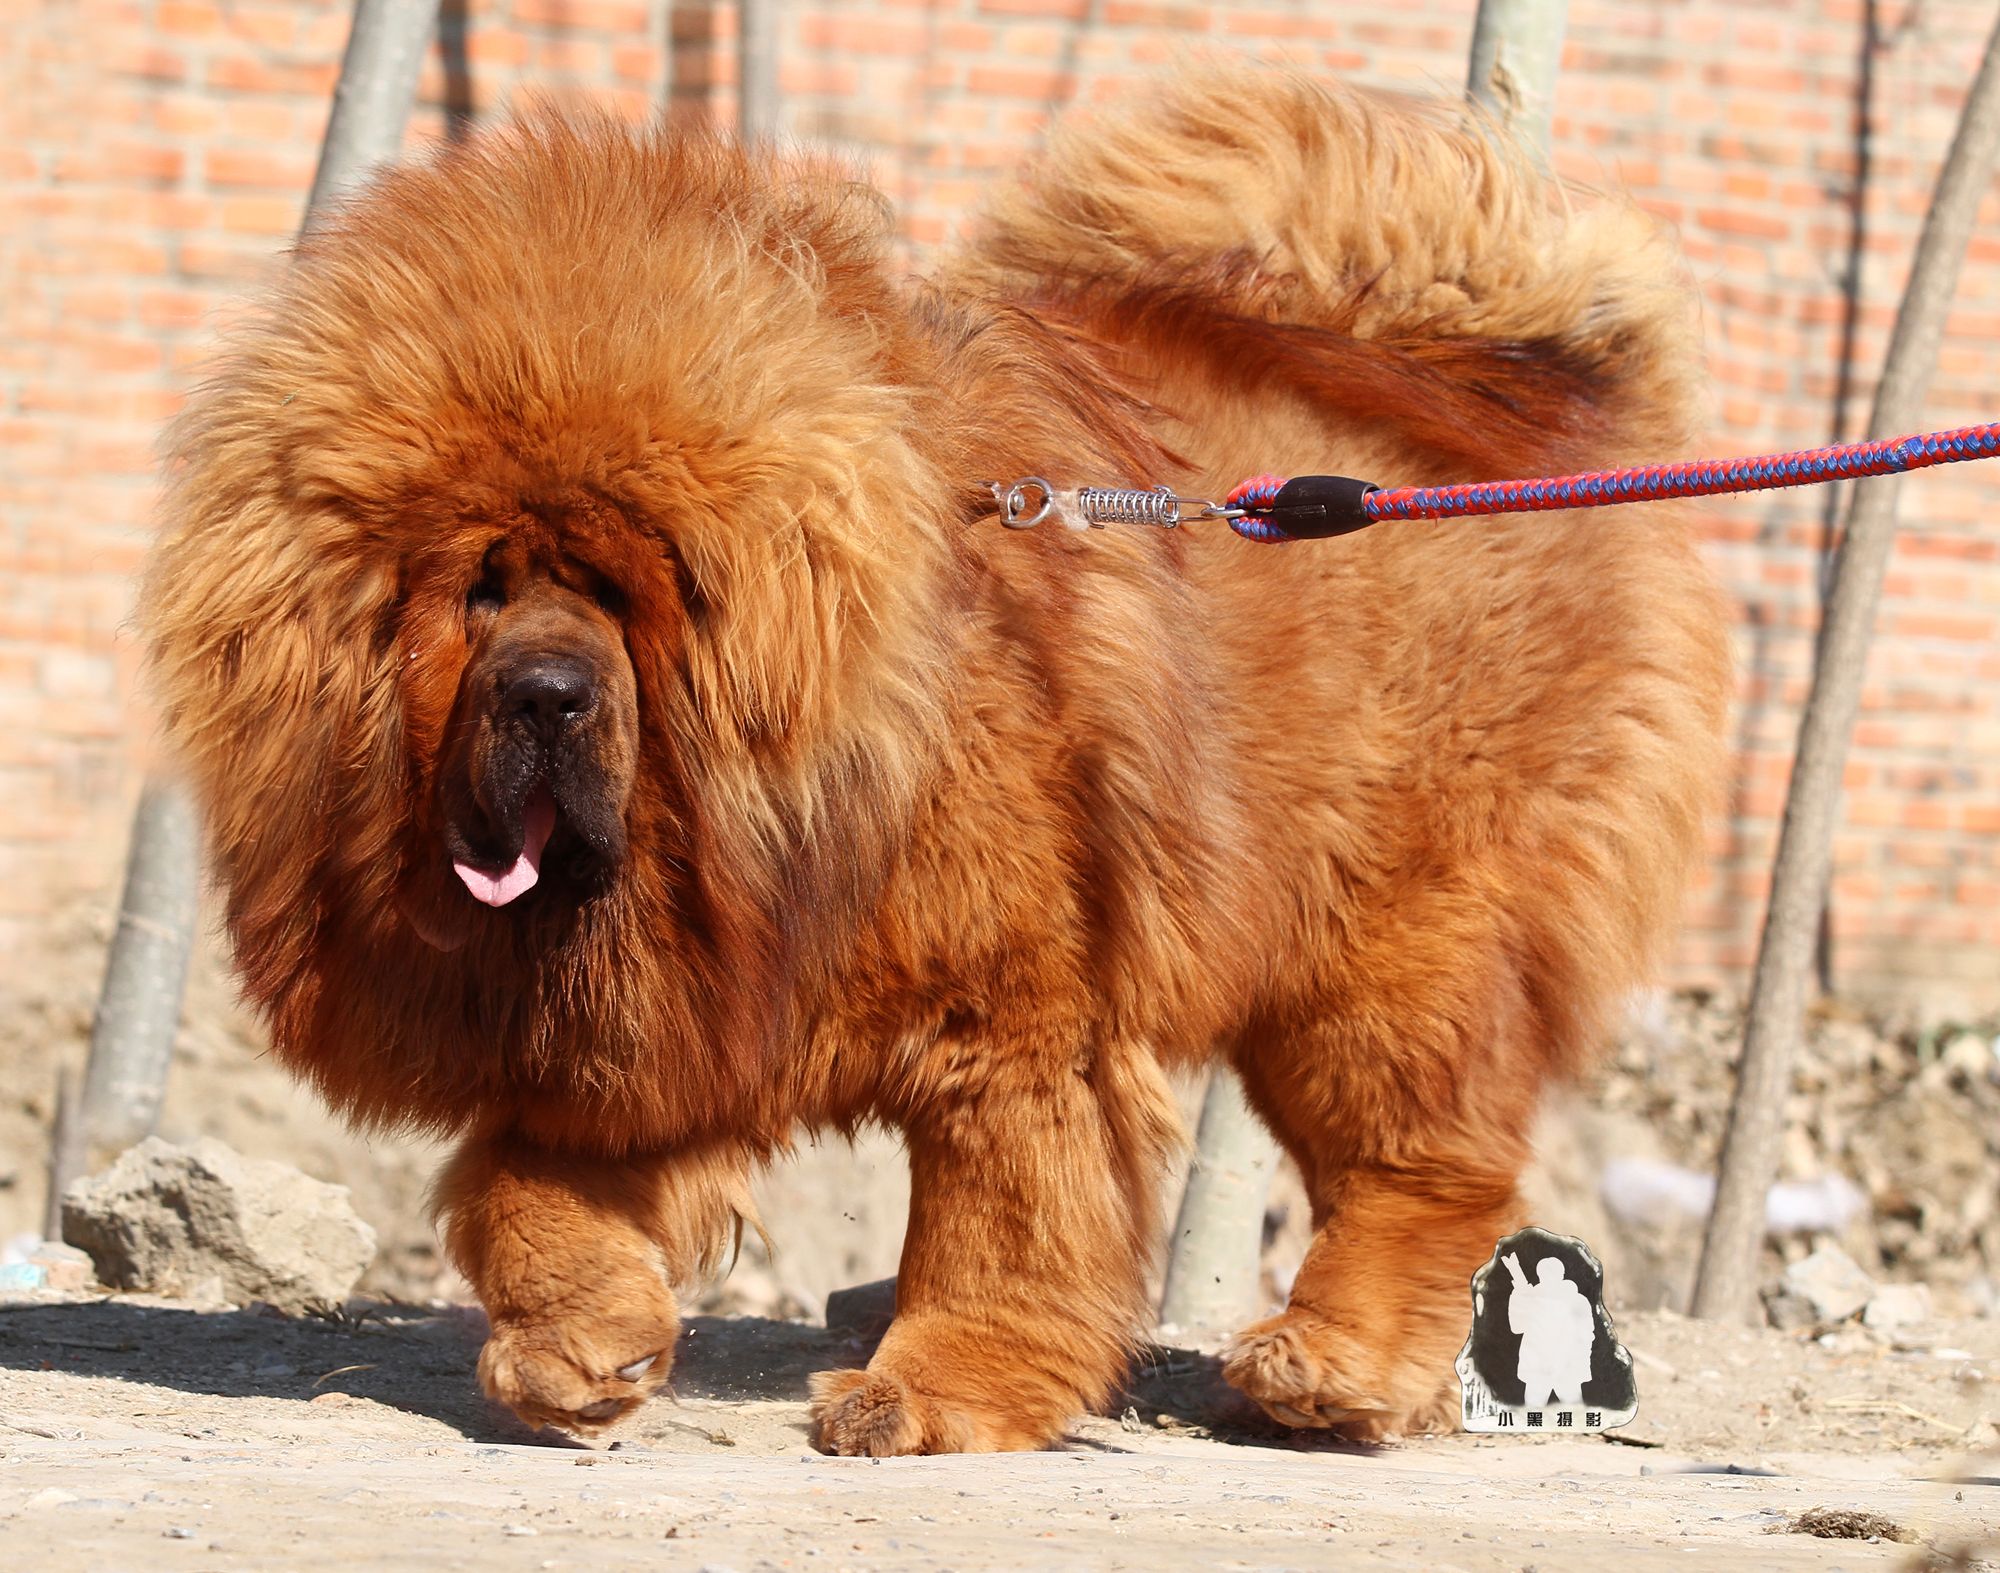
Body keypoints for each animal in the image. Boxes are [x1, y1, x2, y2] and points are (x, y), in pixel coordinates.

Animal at [148, 70, 1728, 1448]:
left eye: (619, 589)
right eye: (479, 590)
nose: (544, 694)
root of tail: (1545, 410)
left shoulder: (1018, 1018)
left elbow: (1000, 1218)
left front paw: (932, 1394)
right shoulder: (688, 1012)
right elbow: (523, 1188)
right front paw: (582, 1348)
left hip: (1385, 942)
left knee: (1417, 1163)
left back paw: (1327, 1371)